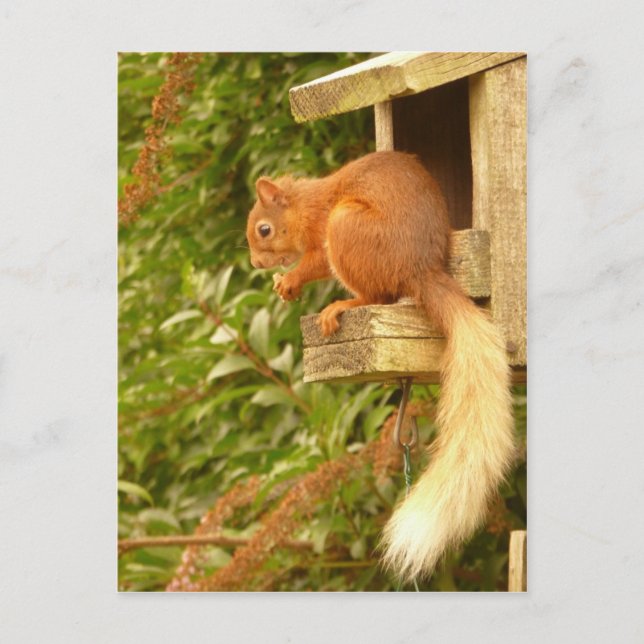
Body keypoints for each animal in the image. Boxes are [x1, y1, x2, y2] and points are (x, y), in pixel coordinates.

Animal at [246, 151, 515, 582]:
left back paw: (343, 305)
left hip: (346, 227)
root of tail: (420, 269)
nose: (256, 263)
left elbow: (315, 262)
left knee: (378, 296)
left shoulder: (321, 227)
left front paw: (289, 280)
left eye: (264, 229)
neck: (306, 206)